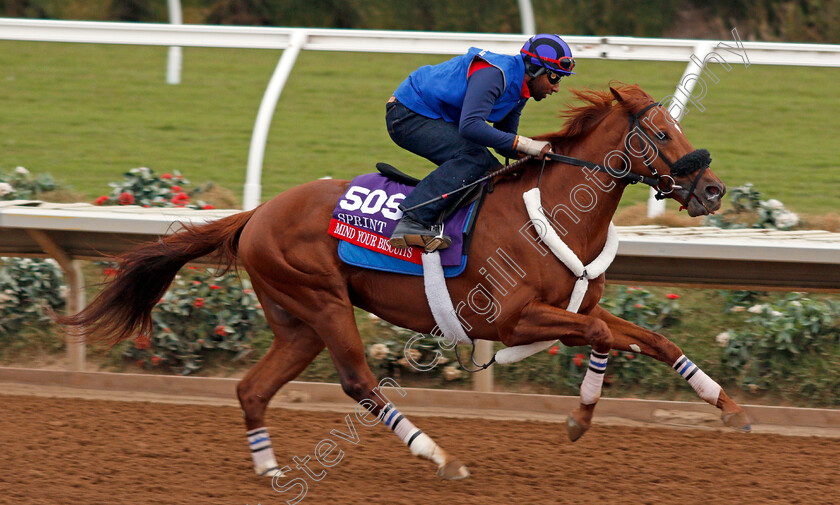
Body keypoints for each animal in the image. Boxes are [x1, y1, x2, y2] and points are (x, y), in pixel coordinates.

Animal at [55, 82, 752, 480]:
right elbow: (606, 337)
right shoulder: (508, 319)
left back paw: (271, 471)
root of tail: (258, 214)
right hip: (324, 303)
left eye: (680, 128)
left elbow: (651, 340)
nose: (713, 189)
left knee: (252, 390)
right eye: (660, 133)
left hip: (297, 324)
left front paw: (729, 408)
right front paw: (580, 418)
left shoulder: (573, 310)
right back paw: (438, 457)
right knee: (359, 382)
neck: (555, 211)